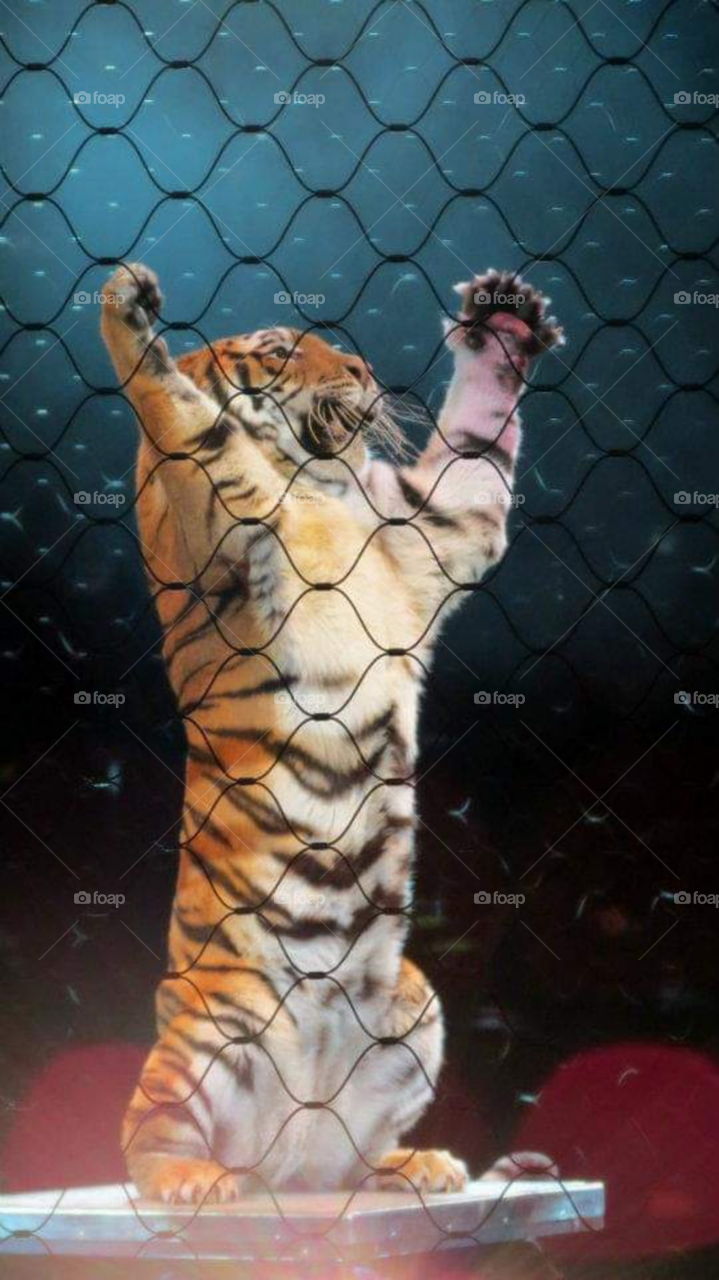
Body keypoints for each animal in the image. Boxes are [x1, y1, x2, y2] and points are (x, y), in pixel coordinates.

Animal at [100, 261, 562, 1204]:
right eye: (280, 349)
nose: (359, 365)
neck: (319, 480)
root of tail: (283, 1151)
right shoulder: (208, 517)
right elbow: (187, 421)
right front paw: (127, 314)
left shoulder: (434, 530)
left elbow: (475, 447)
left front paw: (504, 323)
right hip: (210, 1034)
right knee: (144, 1138)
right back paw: (191, 1180)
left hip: (412, 1004)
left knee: (342, 1158)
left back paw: (411, 1165)